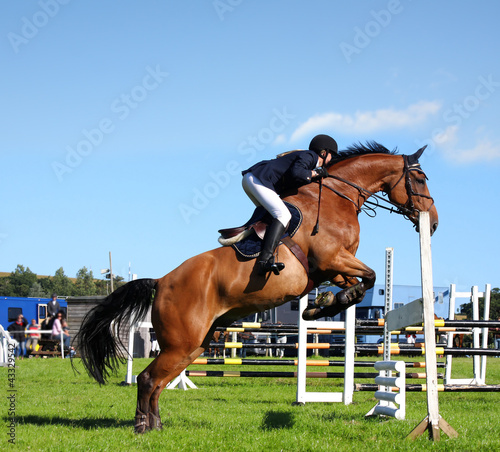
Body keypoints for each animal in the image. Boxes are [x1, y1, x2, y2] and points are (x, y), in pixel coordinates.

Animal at [75, 143, 438, 432]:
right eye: (420, 179)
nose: (432, 223)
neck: (338, 197)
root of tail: (162, 281)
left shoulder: (332, 268)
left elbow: (359, 285)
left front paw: (320, 305)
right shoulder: (332, 257)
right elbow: (371, 276)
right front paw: (323, 305)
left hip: (191, 347)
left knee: (157, 383)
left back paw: (156, 426)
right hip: (181, 344)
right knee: (148, 379)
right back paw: (143, 428)